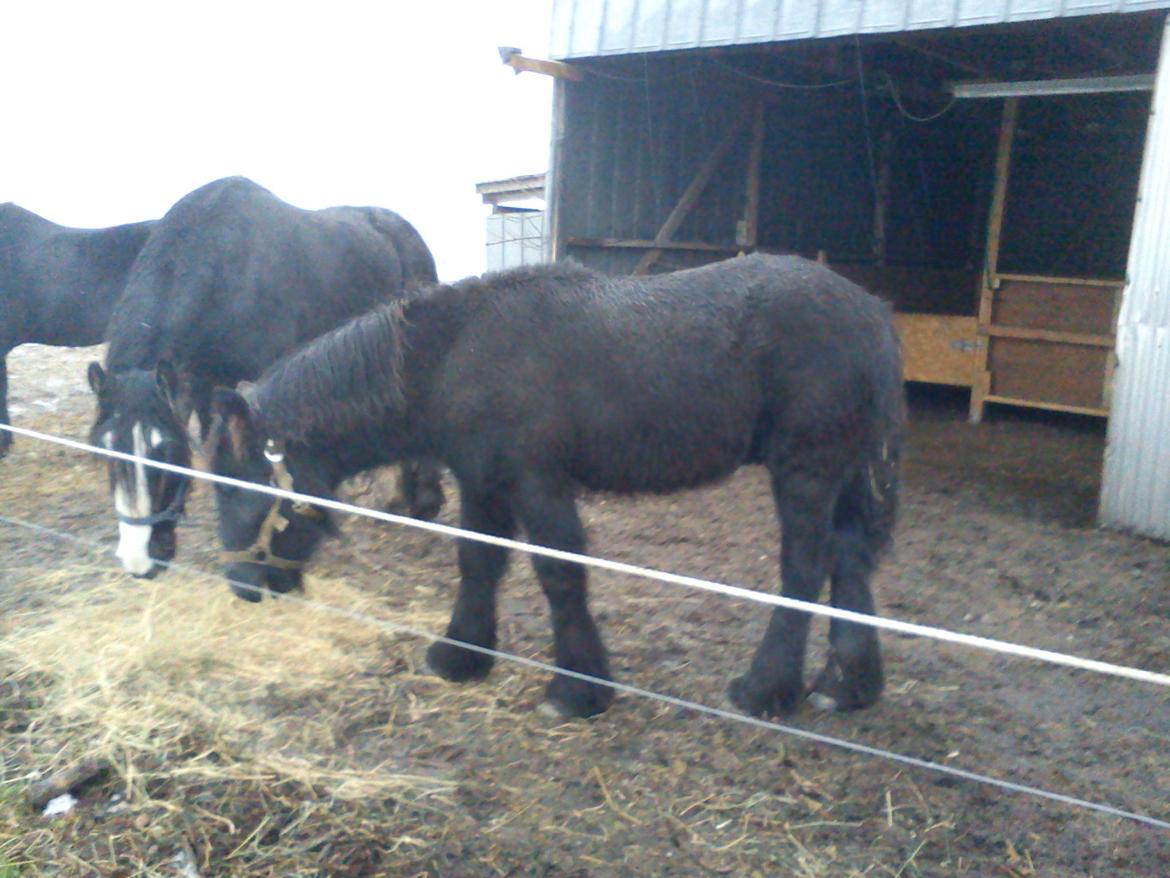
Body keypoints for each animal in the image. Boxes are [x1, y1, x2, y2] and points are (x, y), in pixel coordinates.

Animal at [88, 176, 444, 579]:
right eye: (104, 448)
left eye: (164, 451)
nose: (140, 561)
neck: (224, 269)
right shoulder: (202, 385)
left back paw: (420, 501)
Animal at [205, 254, 905, 719]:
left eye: (238, 486)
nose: (241, 585)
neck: (454, 357)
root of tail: (872, 313)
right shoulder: (482, 483)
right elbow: (478, 562)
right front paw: (461, 655)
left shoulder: (536, 483)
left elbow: (559, 574)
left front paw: (577, 690)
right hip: (841, 474)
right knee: (850, 561)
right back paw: (846, 686)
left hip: (805, 472)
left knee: (805, 571)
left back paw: (764, 690)